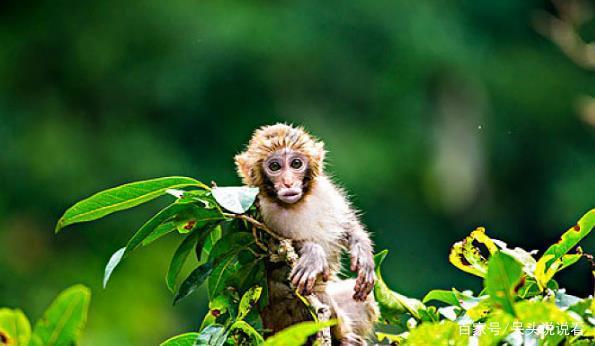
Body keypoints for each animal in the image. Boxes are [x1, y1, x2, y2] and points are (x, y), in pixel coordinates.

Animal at [235, 123, 380, 344]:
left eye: (296, 164)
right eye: (275, 167)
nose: (288, 182)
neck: (298, 203)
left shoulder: (325, 190)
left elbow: (347, 225)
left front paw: (363, 252)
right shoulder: (259, 210)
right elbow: (276, 250)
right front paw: (312, 254)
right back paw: (343, 337)